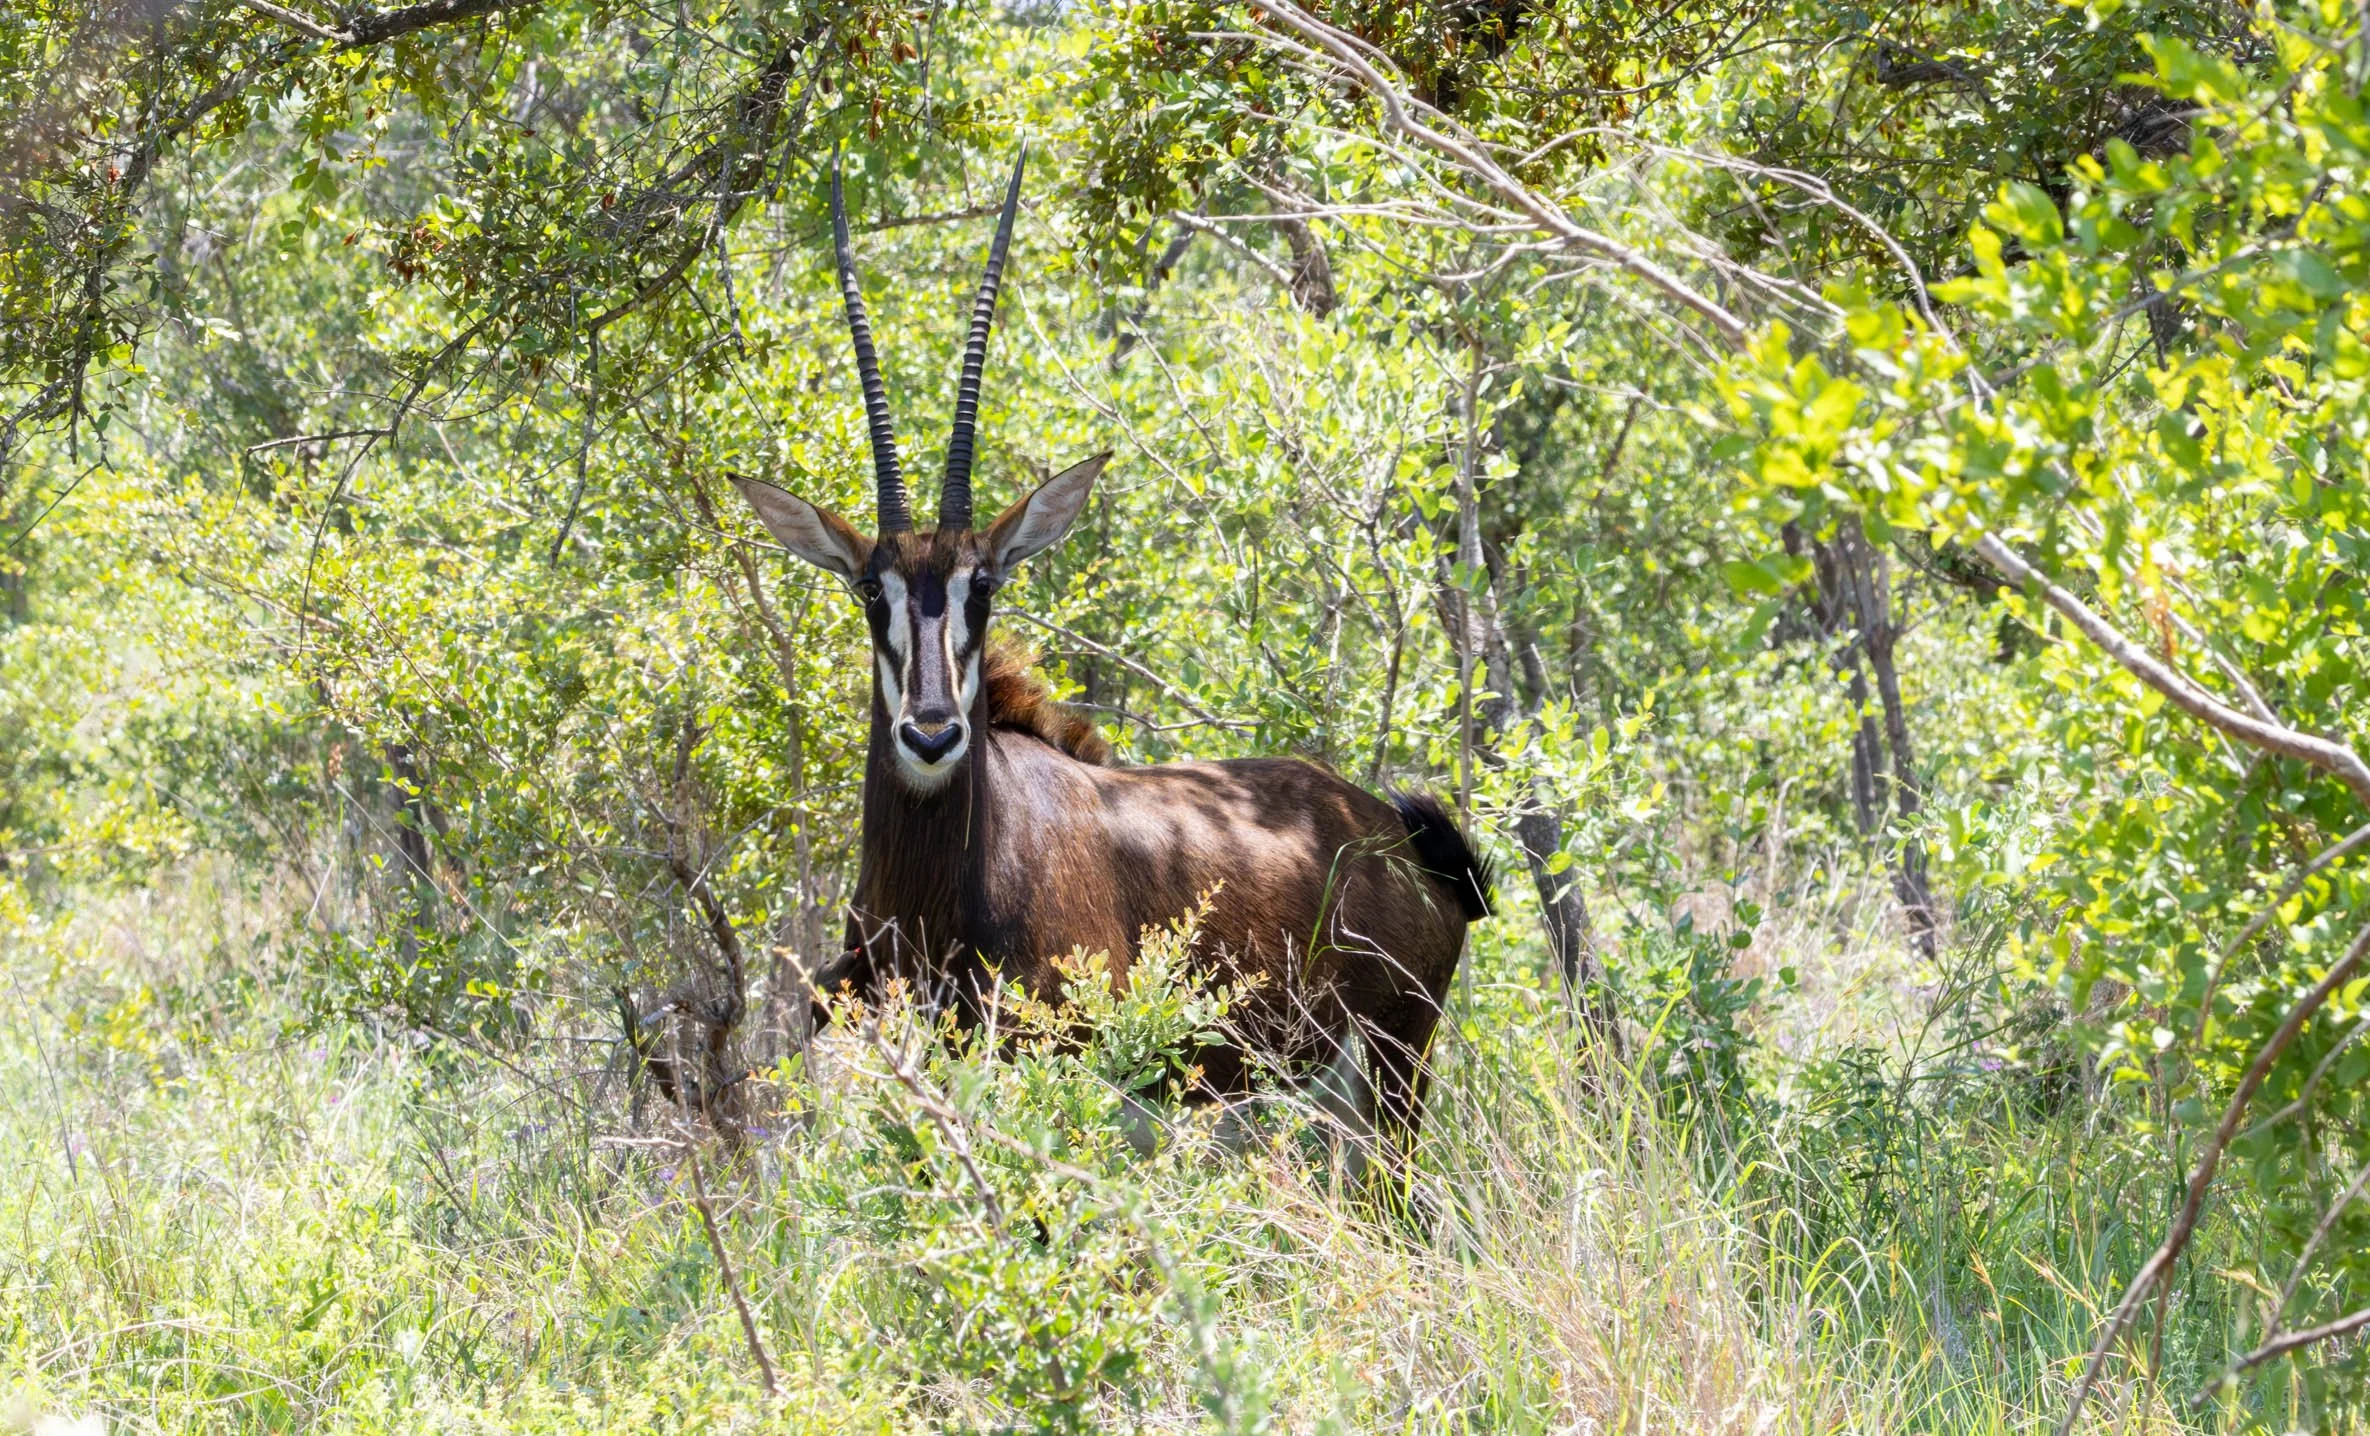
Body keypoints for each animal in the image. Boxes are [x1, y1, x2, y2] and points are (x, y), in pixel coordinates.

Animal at [729, 148, 1493, 1153]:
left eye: (985, 584)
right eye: (869, 589)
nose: (930, 735)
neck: (939, 893)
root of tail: (1396, 835)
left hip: (1398, 1067)